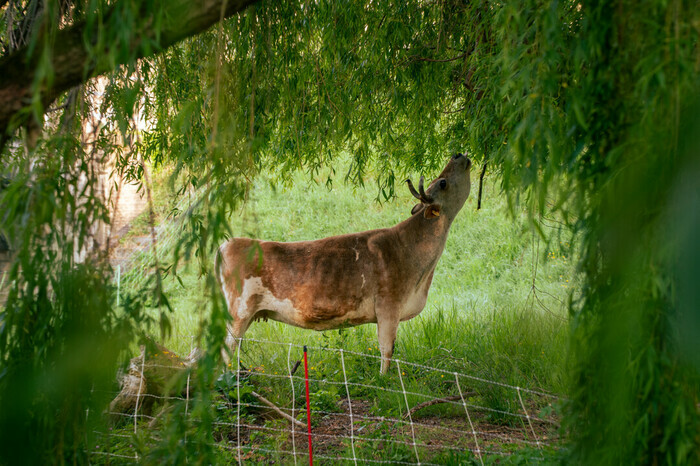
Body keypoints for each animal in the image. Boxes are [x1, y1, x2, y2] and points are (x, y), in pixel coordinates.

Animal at [216, 155, 474, 374]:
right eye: (442, 182)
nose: (458, 155)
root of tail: (228, 243)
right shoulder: (389, 306)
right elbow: (387, 350)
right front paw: (384, 380)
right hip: (238, 313)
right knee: (224, 351)